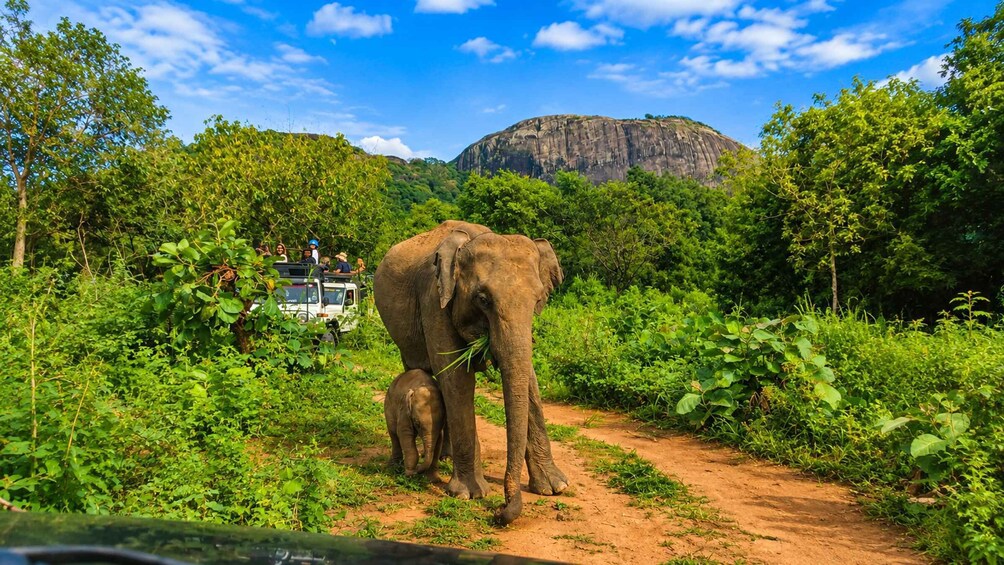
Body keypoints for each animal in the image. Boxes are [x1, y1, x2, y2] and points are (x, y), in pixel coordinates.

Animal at [374, 220, 567, 525]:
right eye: (483, 299)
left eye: (538, 299)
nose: (500, 512)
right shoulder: (434, 299)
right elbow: (456, 377)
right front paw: (470, 494)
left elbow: (529, 379)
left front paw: (554, 487)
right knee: (423, 371)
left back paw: (445, 457)